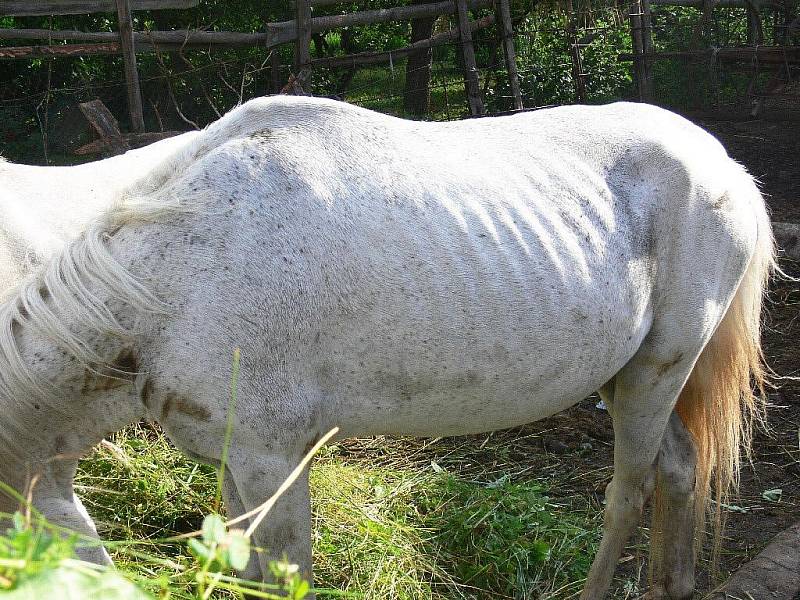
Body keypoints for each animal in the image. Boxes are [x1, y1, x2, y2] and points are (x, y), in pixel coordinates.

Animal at [0, 96, 776, 596]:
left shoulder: (274, 460)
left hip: (660, 368)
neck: (176, 278)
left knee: (628, 492)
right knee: (679, 468)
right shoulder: (235, 462)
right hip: (627, 376)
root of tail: (722, 162)